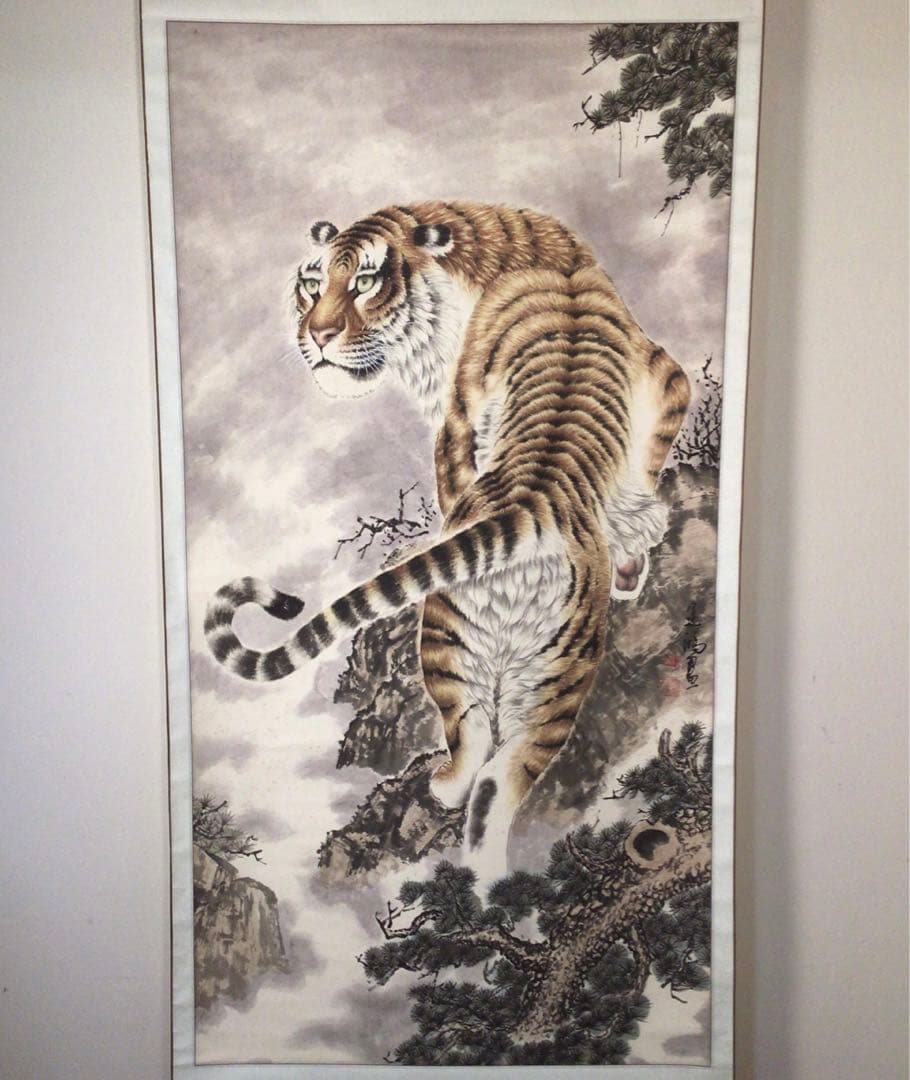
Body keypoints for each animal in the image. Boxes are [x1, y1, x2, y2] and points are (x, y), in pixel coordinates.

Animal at [204, 201, 690, 881]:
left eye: (365, 281)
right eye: (312, 283)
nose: (316, 337)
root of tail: (537, 498)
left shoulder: (468, 419)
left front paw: (632, 551)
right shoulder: (660, 378)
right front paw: (631, 555)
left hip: (468, 647)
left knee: (480, 749)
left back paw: (451, 808)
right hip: (522, 666)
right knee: (495, 768)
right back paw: (487, 874)